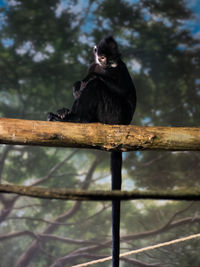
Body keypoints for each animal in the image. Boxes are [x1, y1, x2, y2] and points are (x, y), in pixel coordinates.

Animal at [47, 36, 137, 267]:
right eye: (102, 56)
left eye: (112, 57)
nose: (107, 62)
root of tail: (123, 123)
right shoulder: (94, 64)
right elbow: (85, 79)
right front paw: (77, 85)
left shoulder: (119, 68)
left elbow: (114, 86)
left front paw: (91, 78)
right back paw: (65, 114)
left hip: (112, 113)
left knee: (96, 86)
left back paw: (75, 117)